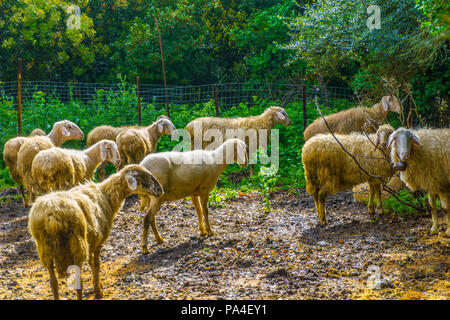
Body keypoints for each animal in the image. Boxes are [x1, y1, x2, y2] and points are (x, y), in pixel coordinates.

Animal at [27, 165, 163, 300]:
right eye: (141, 176)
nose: (160, 190)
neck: (107, 196)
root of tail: (52, 215)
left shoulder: (91, 241)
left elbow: (91, 262)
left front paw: (98, 285)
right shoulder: (99, 241)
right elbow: (97, 264)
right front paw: (98, 291)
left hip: (45, 249)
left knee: (53, 282)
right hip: (77, 244)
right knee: (78, 281)